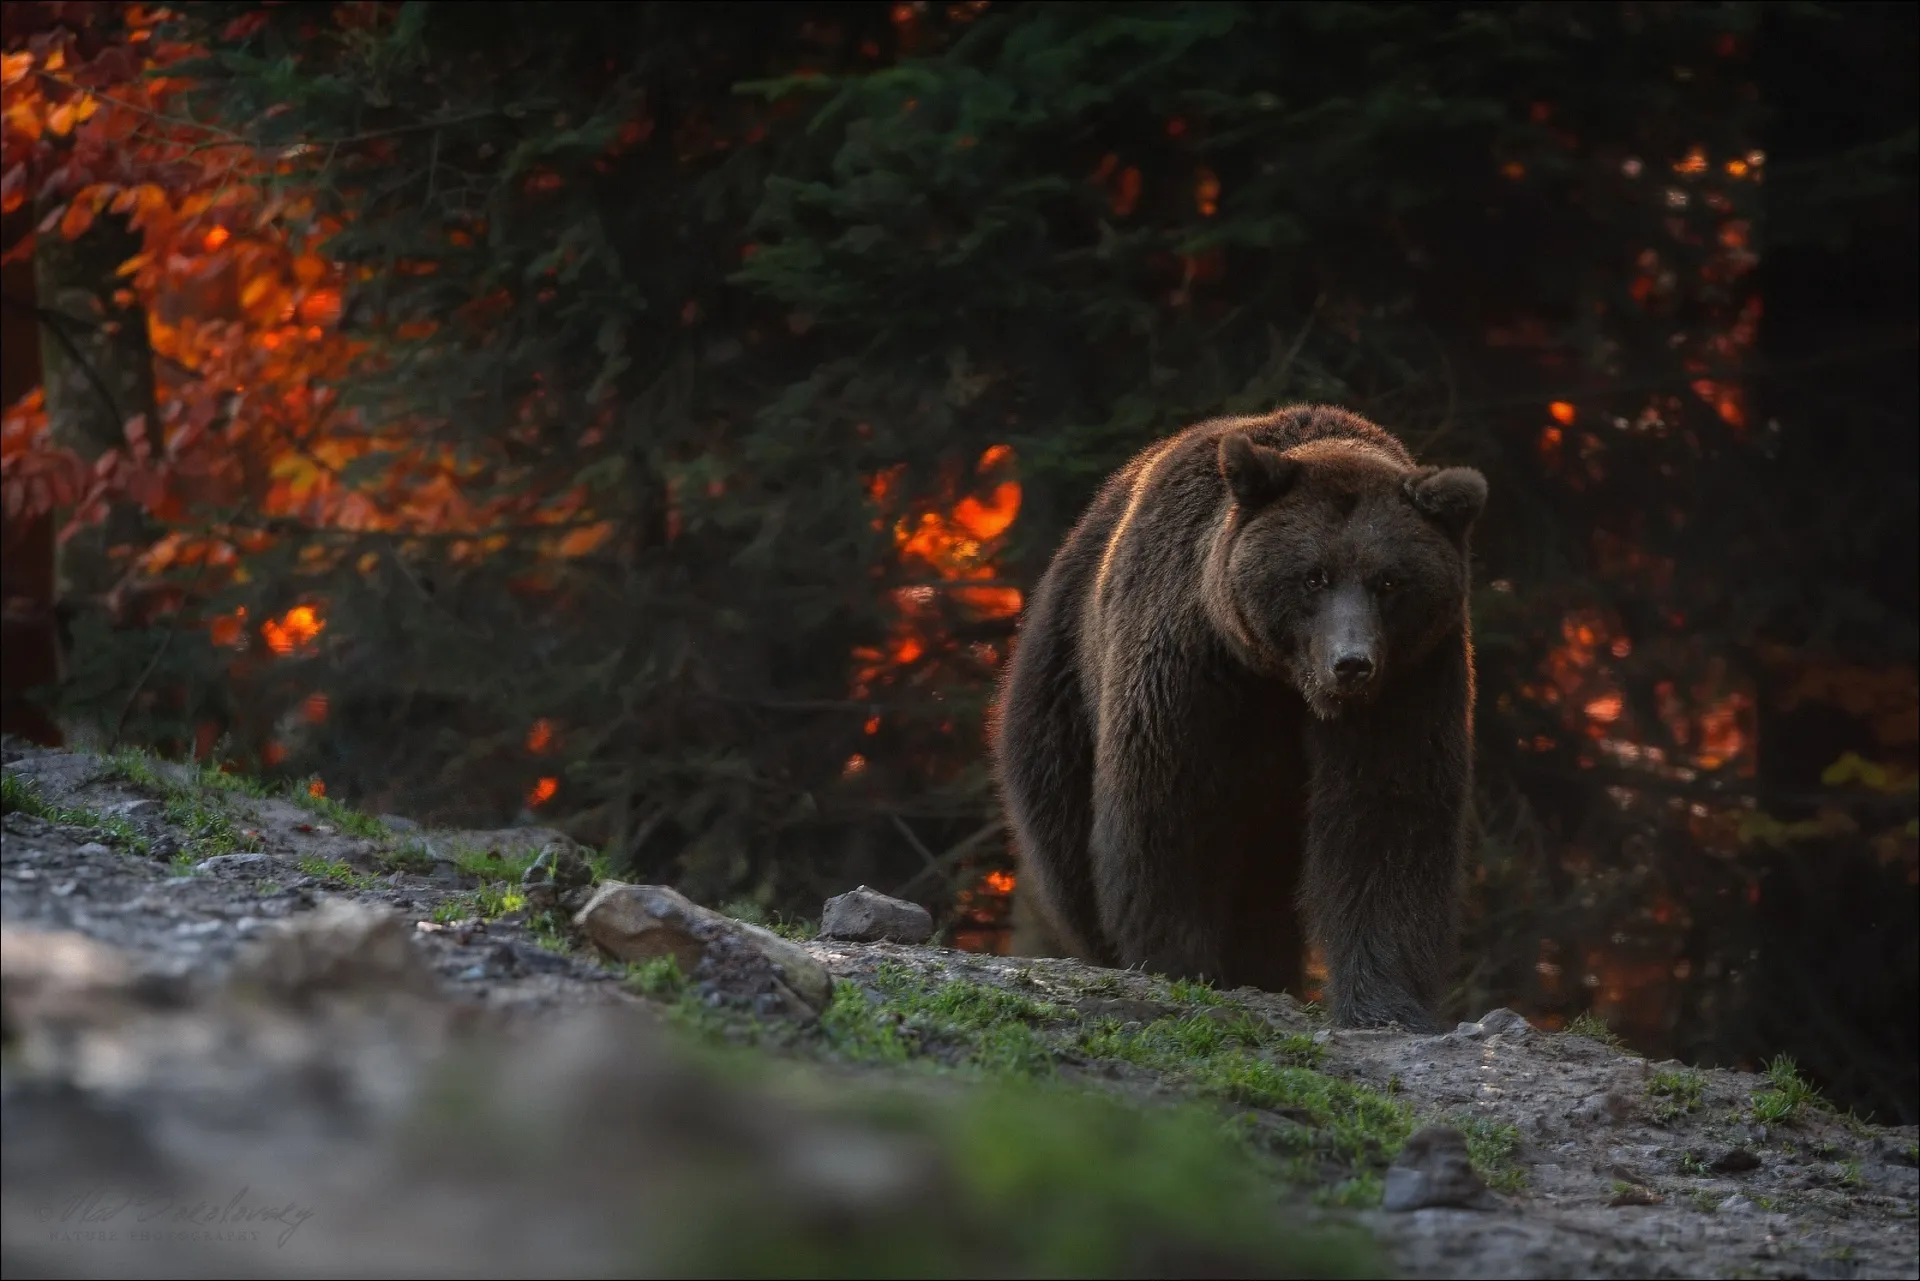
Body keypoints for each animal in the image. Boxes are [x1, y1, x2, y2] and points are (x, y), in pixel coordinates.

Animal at [990, 405, 1482, 1037]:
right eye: (1314, 576)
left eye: (1390, 581)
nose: (1351, 663)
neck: (1282, 679)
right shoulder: (1192, 668)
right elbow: (1171, 811)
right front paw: (1181, 961)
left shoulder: (1409, 683)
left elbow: (1387, 821)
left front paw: (1386, 1004)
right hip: (1062, 682)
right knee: (1066, 840)